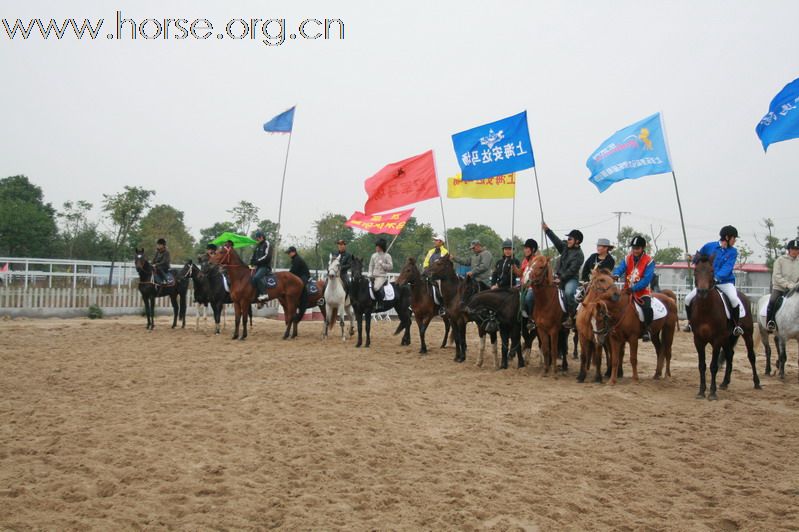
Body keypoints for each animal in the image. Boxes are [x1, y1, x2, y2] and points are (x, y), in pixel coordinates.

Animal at [688, 255, 764, 400]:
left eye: (712, 271)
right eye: (695, 270)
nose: (702, 292)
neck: (706, 308)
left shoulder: (717, 339)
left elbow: (713, 366)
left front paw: (712, 392)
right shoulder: (698, 340)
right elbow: (701, 365)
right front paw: (701, 391)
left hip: (747, 334)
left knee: (751, 356)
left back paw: (757, 383)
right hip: (727, 338)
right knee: (730, 354)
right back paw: (724, 382)